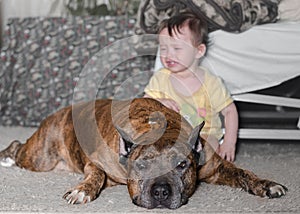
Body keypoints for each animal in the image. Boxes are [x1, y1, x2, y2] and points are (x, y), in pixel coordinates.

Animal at [0, 98, 288, 208]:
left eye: (182, 165)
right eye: (141, 166)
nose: (161, 192)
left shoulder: (215, 168)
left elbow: (243, 172)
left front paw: (267, 184)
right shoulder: (96, 162)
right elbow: (96, 175)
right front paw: (83, 190)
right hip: (39, 158)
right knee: (17, 145)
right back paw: (6, 156)